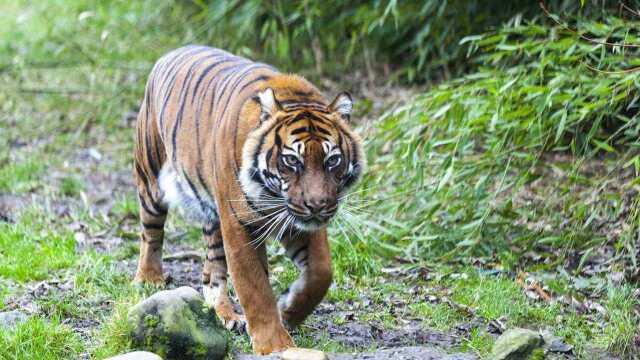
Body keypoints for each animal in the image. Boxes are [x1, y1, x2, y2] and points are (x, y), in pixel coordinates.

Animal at [131, 45, 364, 354]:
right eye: (292, 160)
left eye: (332, 160)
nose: (317, 205)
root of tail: (172, 51)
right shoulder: (239, 224)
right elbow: (255, 286)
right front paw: (274, 345)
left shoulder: (297, 220)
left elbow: (321, 272)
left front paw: (289, 311)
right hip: (151, 178)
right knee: (151, 232)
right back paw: (150, 278)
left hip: (213, 217)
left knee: (212, 272)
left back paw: (227, 315)